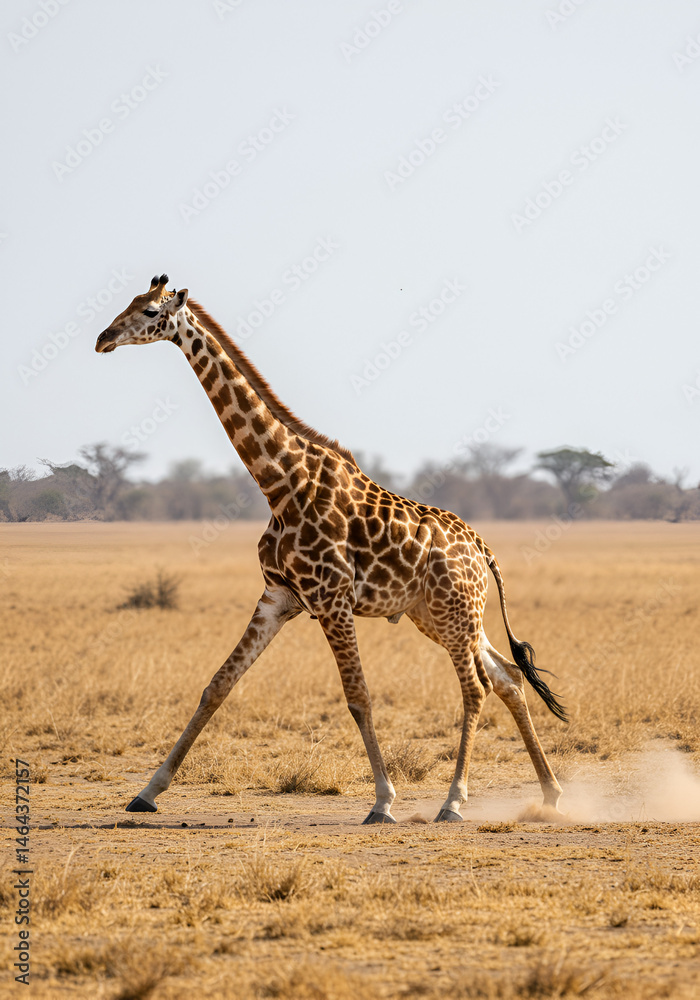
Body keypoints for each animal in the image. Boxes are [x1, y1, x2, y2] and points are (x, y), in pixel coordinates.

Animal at [95, 274, 566, 824]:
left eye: (150, 311)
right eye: (128, 302)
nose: (103, 338)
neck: (280, 483)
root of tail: (481, 547)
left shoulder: (332, 599)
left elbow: (358, 696)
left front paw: (383, 801)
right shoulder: (278, 598)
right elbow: (217, 686)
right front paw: (147, 791)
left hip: (454, 611)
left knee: (477, 687)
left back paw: (454, 801)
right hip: (440, 615)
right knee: (508, 677)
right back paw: (550, 793)